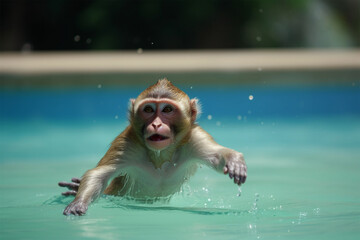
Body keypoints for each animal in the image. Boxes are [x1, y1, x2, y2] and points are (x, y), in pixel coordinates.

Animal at [59, 79, 246, 216]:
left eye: (167, 109)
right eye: (148, 109)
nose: (156, 124)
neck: (160, 154)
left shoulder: (194, 137)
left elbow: (217, 155)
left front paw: (234, 161)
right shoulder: (127, 143)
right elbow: (99, 174)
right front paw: (79, 203)